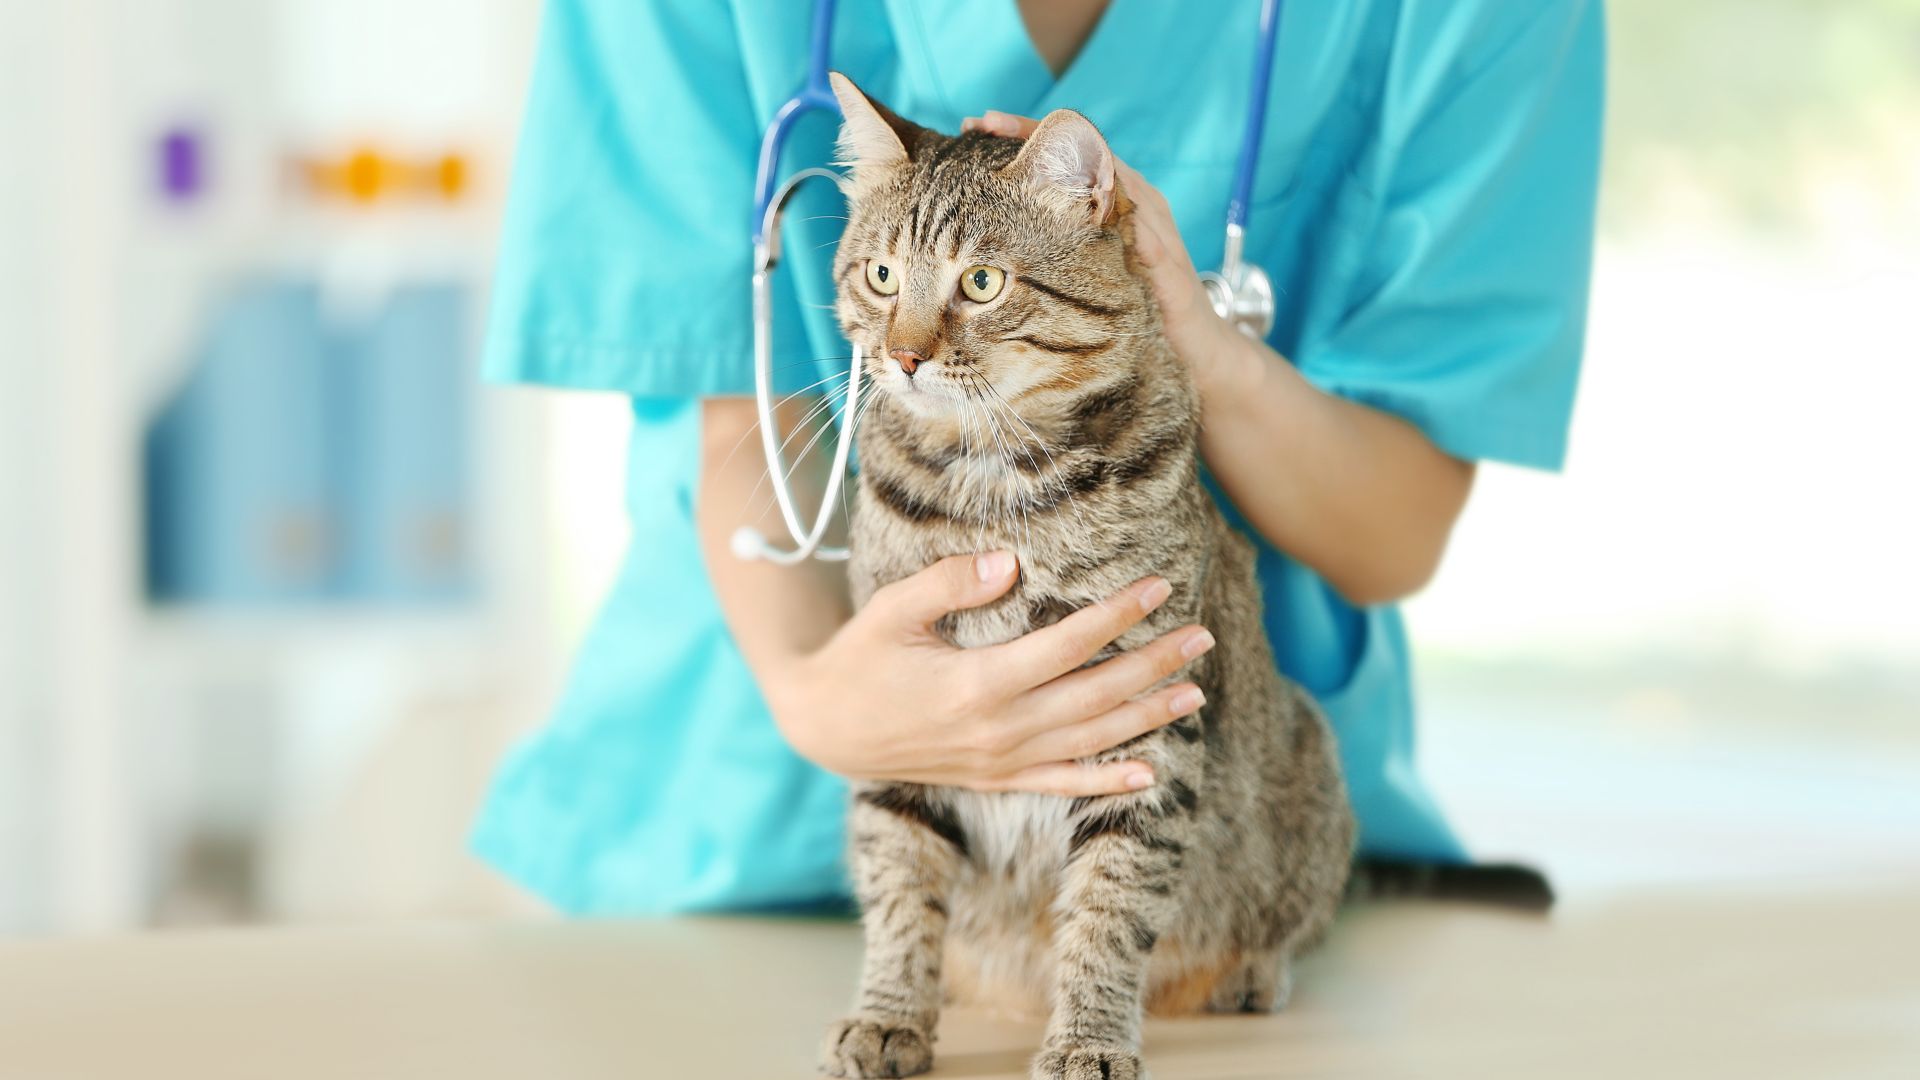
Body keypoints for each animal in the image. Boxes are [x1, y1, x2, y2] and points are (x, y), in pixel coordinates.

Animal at [821, 71, 1351, 1068]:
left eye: (981, 282)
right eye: (881, 277)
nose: (902, 356)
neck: (991, 487)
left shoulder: (1146, 721)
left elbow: (1109, 904)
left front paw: (1088, 1038)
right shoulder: (901, 699)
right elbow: (900, 881)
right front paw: (889, 1013)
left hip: (1308, 758)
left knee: (1296, 916)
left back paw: (1251, 972)